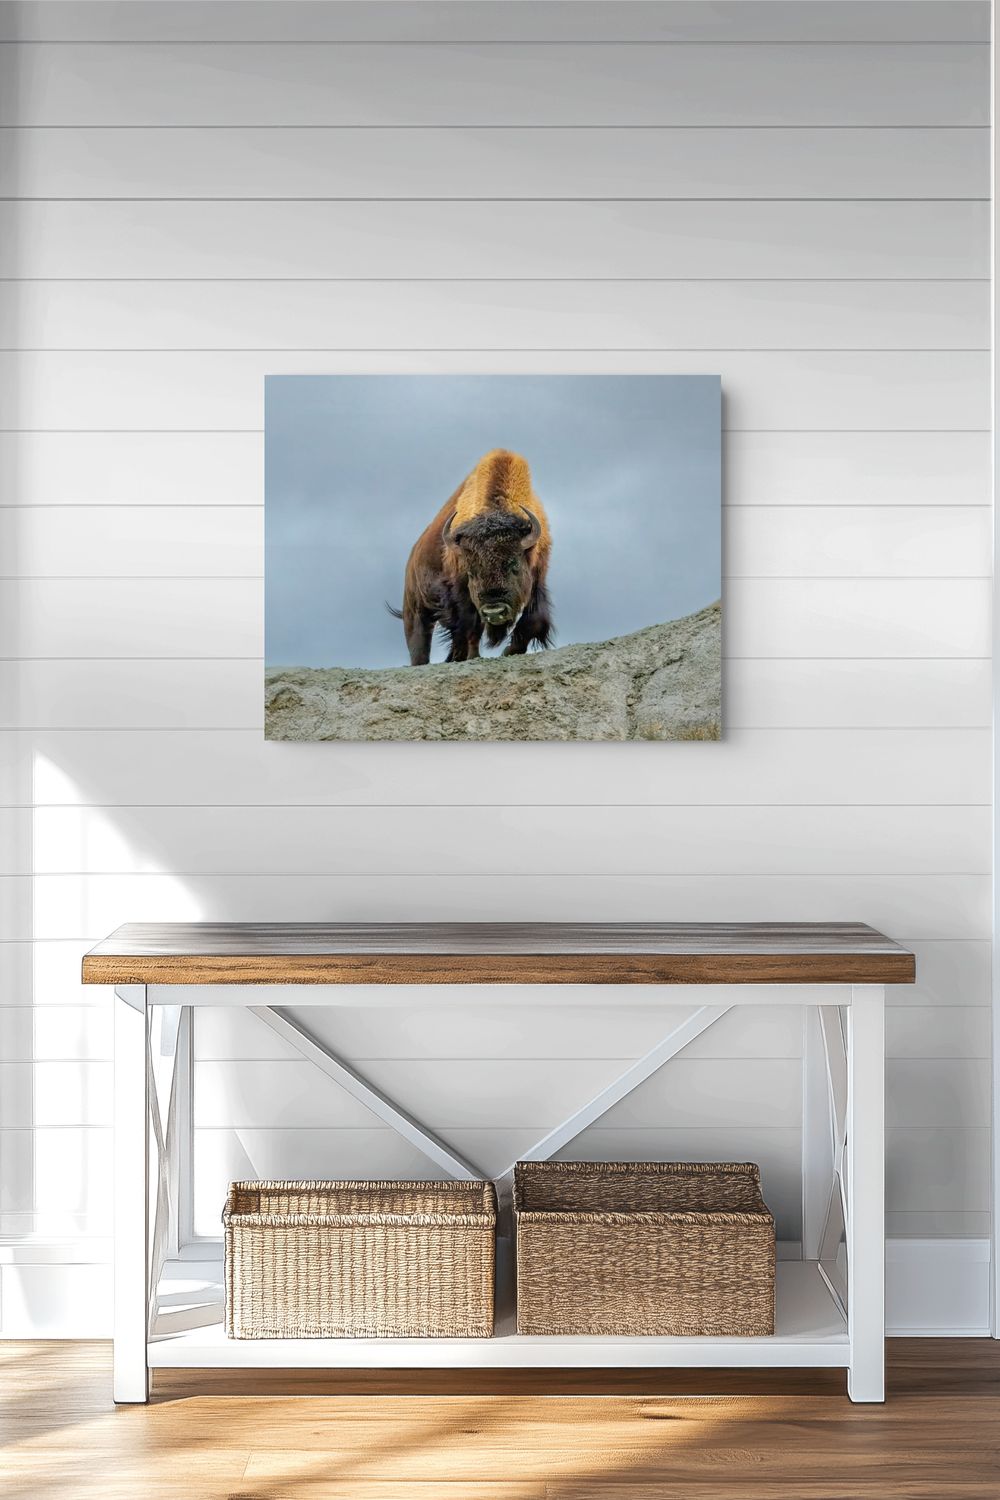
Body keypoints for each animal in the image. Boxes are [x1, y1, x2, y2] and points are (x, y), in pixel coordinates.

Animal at [390, 449, 553, 666]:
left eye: (513, 566)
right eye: (471, 573)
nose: (494, 611)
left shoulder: (538, 577)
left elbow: (536, 620)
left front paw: (509, 651)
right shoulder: (460, 592)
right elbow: (470, 626)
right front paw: (473, 656)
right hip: (415, 609)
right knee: (420, 644)